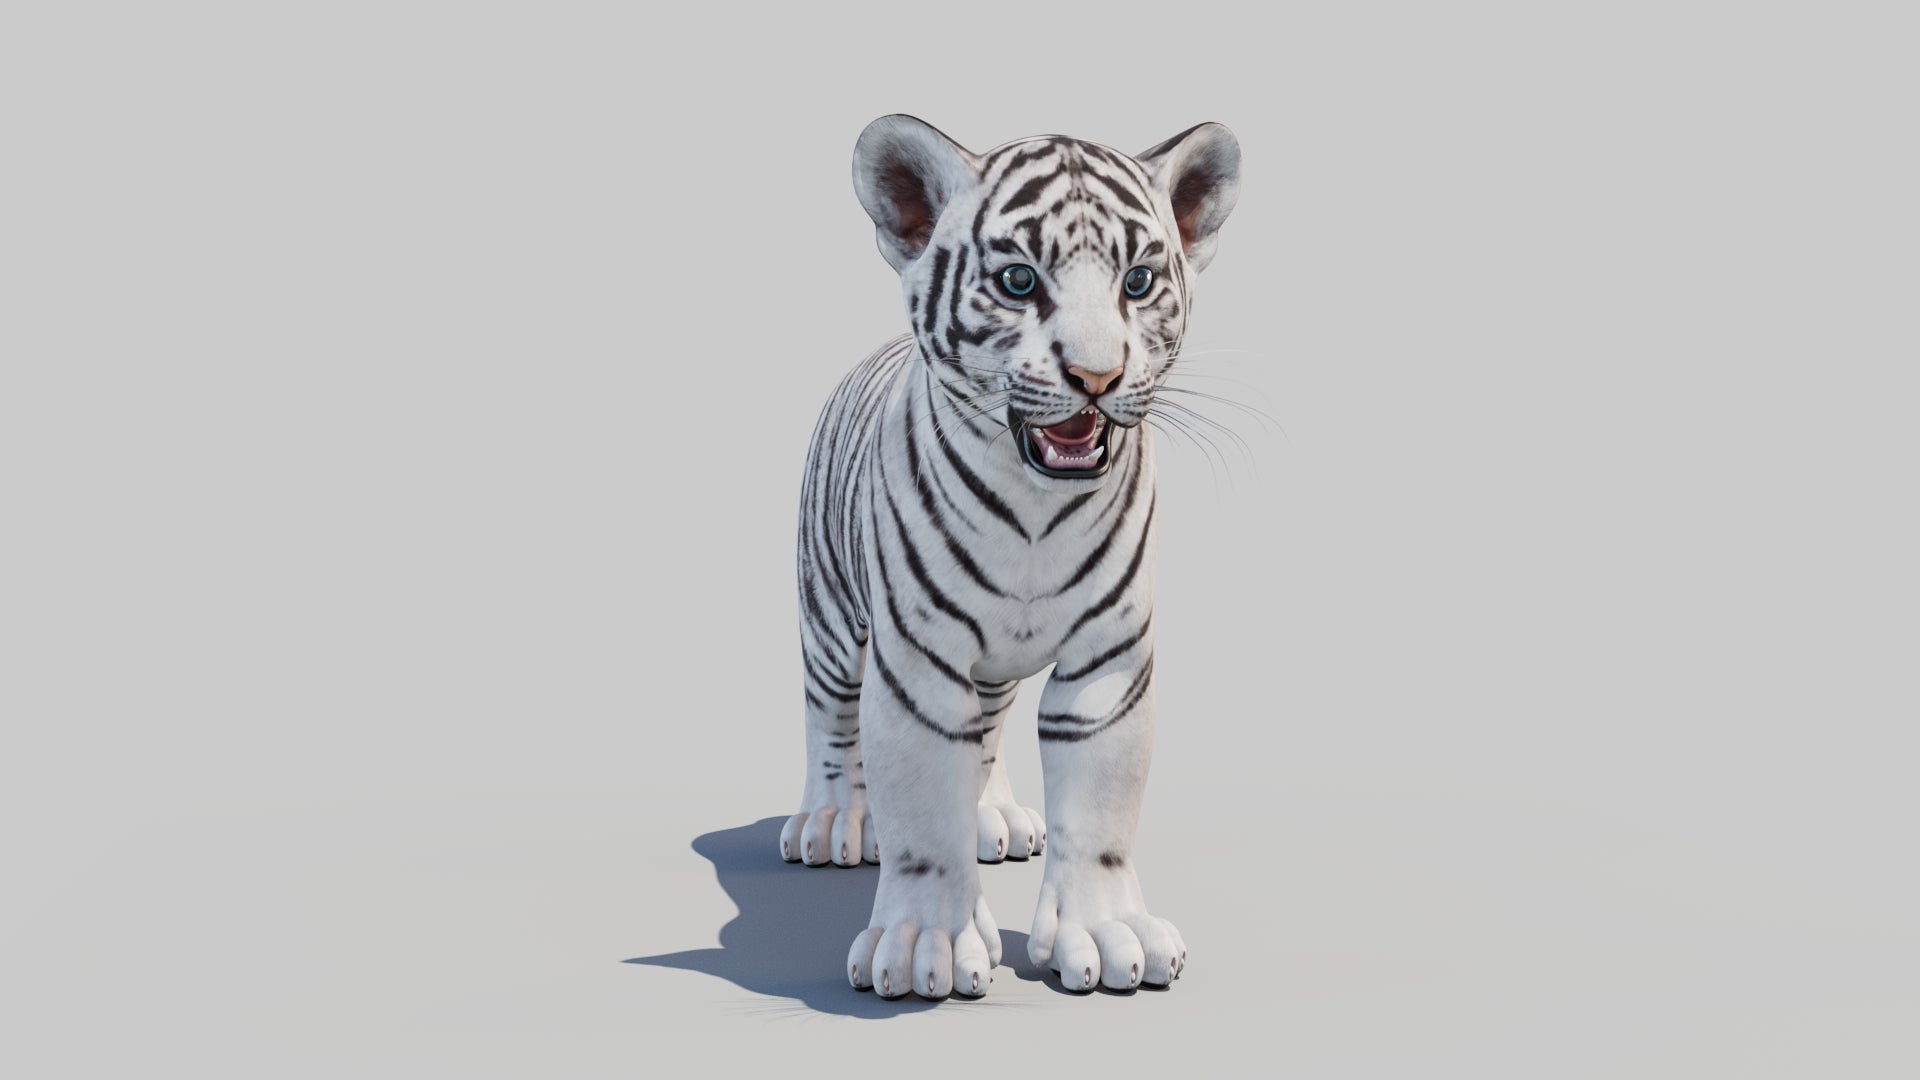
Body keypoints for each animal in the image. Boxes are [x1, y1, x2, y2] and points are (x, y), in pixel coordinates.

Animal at [783, 114, 1241, 1000]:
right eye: (1019, 281)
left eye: (1138, 282)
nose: (1097, 376)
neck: (1038, 510)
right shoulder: (917, 664)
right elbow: (921, 810)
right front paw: (924, 945)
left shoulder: (1108, 662)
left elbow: (1101, 807)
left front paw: (1105, 934)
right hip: (829, 618)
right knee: (829, 716)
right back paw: (829, 823)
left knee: (987, 727)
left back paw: (992, 816)